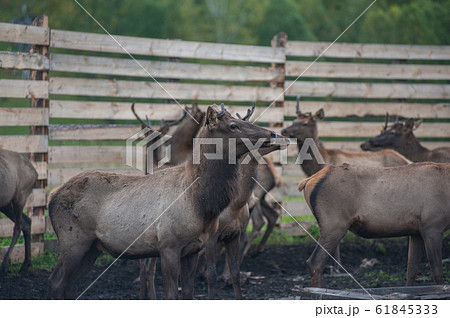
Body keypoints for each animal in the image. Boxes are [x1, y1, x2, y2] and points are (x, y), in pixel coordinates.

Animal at [298, 163, 450, 286]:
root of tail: (307, 181)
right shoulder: (432, 227)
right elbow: (437, 273)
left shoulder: (416, 231)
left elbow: (411, 271)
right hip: (334, 224)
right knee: (315, 262)